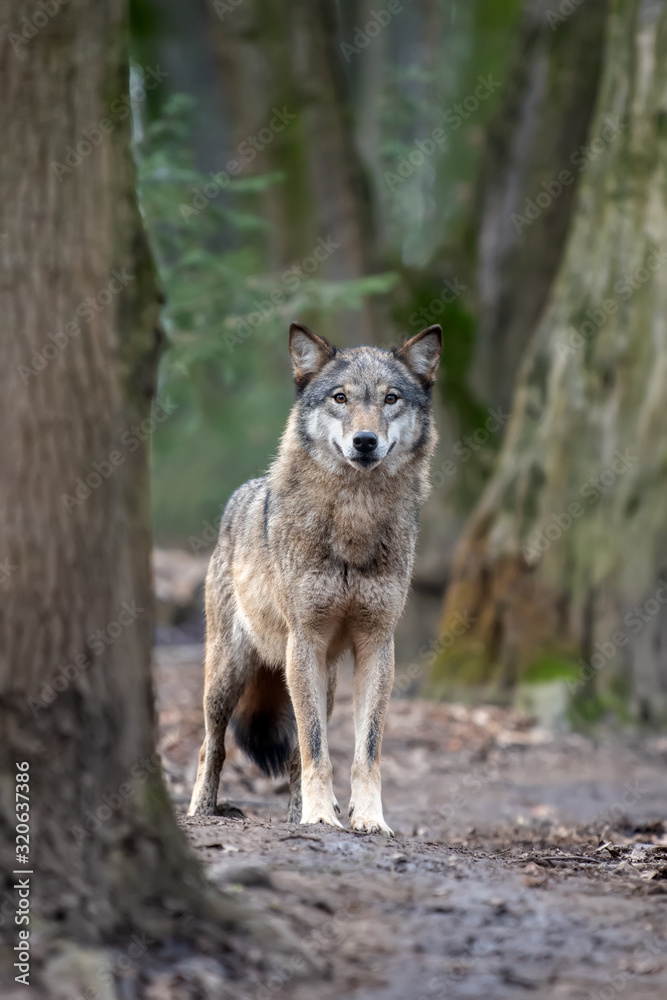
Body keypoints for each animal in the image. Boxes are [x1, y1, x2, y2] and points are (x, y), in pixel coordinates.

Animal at [188, 322, 440, 836]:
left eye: (390, 398)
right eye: (340, 397)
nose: (365, 440)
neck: (354, 521)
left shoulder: (375, 645)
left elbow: (365, 752)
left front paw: (367, 819)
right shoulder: (305, 638)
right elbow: (317, 750)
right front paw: (322, 816)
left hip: (321, 677)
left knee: (291, 755)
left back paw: (296, 814)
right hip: (231, 674)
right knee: (212, 746)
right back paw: (202, 812)